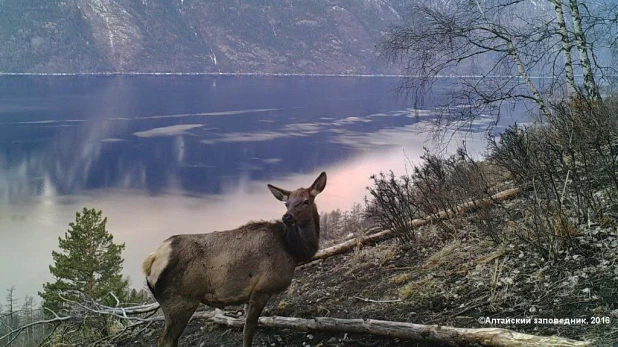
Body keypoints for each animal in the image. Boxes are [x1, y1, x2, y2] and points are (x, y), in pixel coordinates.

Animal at [143, 173, 328, 347]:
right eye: (286, 203)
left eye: (305, 201)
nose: (287, 217)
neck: (293, 251)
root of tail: (151, 260)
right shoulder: (262, 288)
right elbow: (248, 330)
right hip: (181, 302)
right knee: (166, 340)